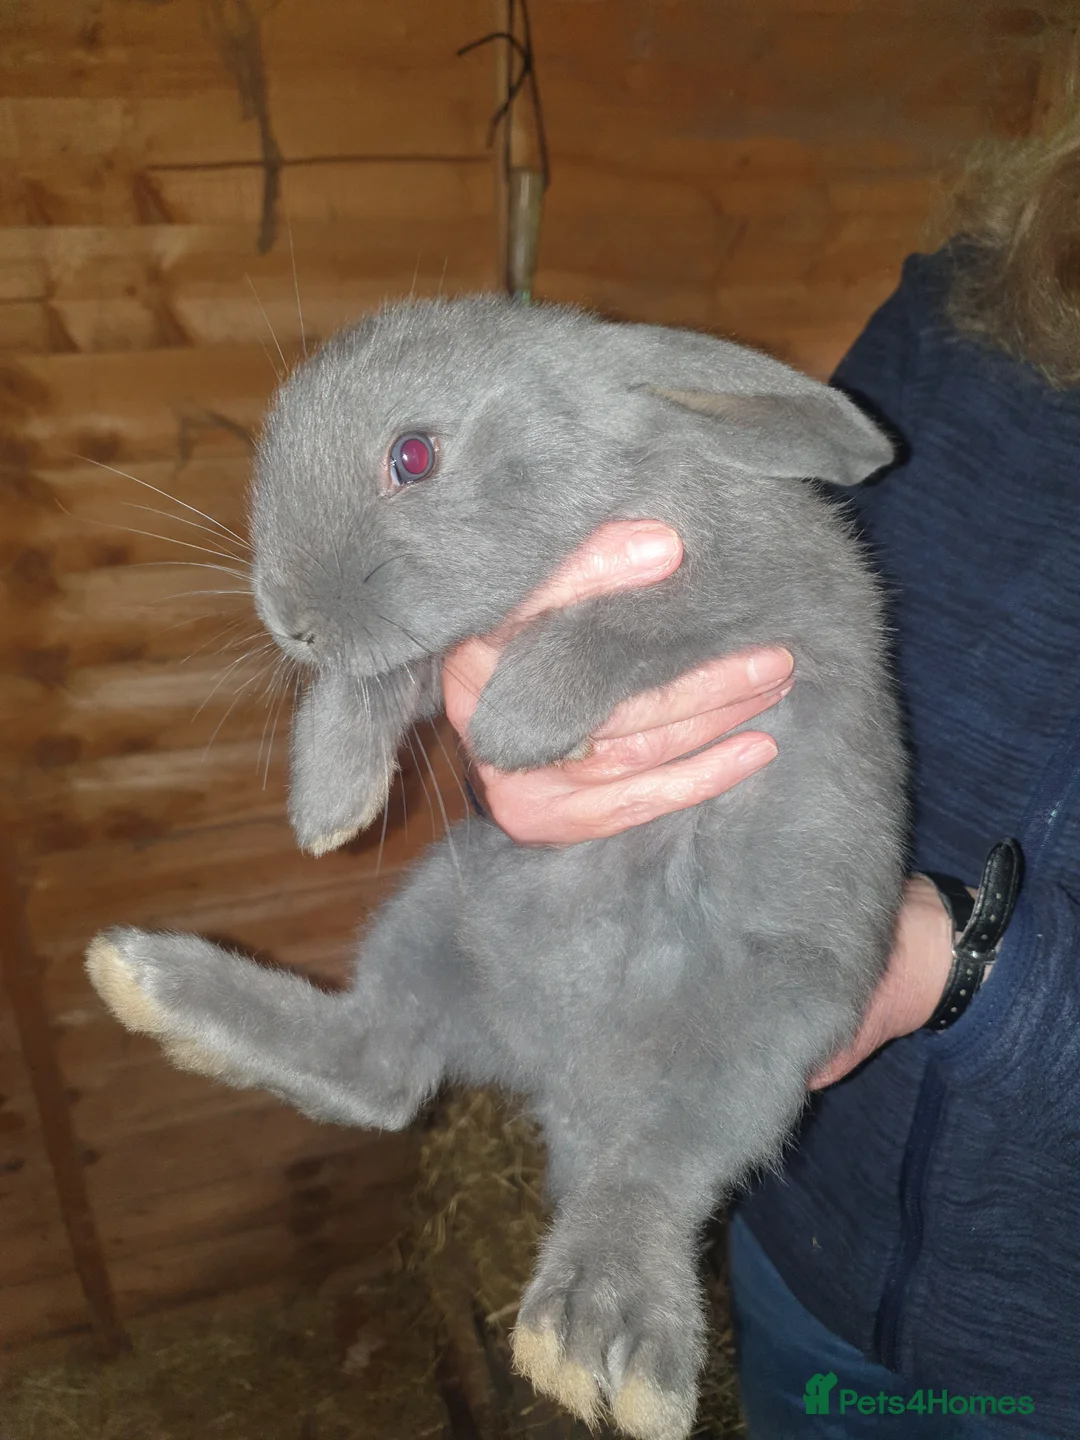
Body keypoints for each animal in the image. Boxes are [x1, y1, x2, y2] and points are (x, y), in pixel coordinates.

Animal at [86, 296, 907, 1440]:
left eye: (414, 455)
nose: (286, 618)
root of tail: (559, 1080)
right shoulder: (429, 648)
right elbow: (372, 684)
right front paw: (328, 804)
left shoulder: (754, 588)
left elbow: (623, 624)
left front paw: (518, 720)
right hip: (442, 906)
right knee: (382, 1072)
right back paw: (152, 984)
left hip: (765, 1019)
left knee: (657, 1169)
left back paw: (595, 1339)